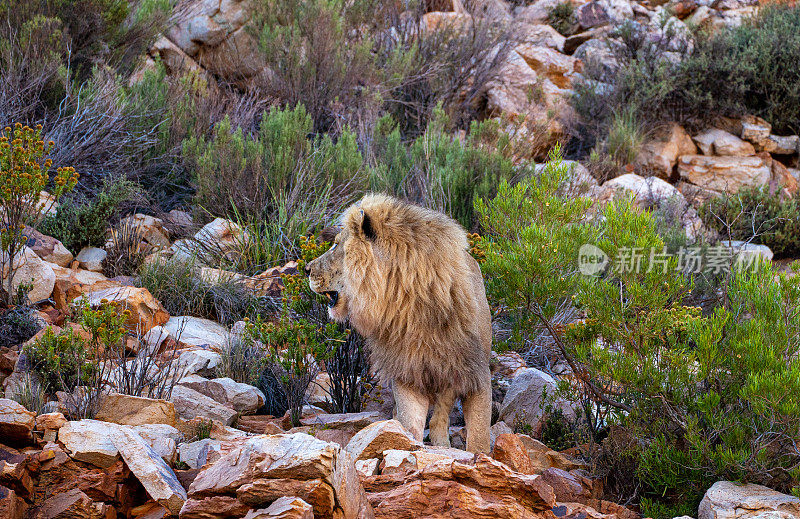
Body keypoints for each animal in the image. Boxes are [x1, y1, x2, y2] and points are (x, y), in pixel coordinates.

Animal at [306, 193, 494, 452]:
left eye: (335, 245)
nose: (306, 269)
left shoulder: (476, 370)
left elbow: (479, 433)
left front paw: (479, 456)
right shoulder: (407, 370)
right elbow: (410, 420)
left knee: (441, 415)